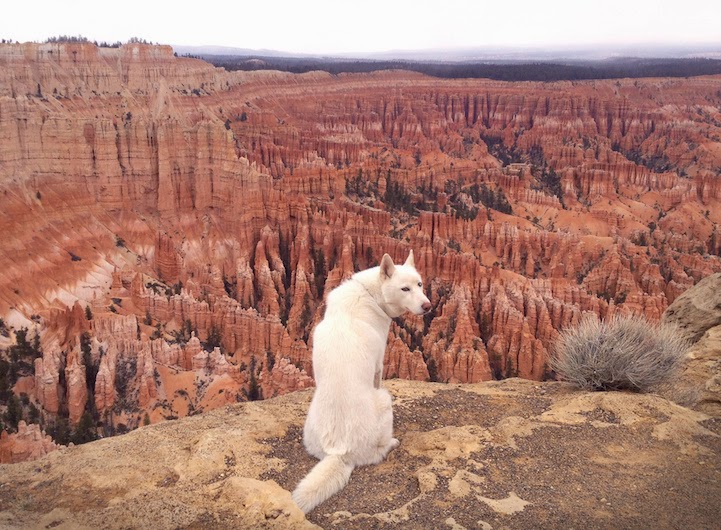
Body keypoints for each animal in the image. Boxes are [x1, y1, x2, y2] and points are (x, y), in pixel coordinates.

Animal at [292, 250, 430, 510]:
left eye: (419, 284)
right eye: (404, 289)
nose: (427, 306)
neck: (369, 294)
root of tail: (339, 452)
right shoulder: (378, 366)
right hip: (384, 401)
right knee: (377, 452)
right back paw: (392, 443)